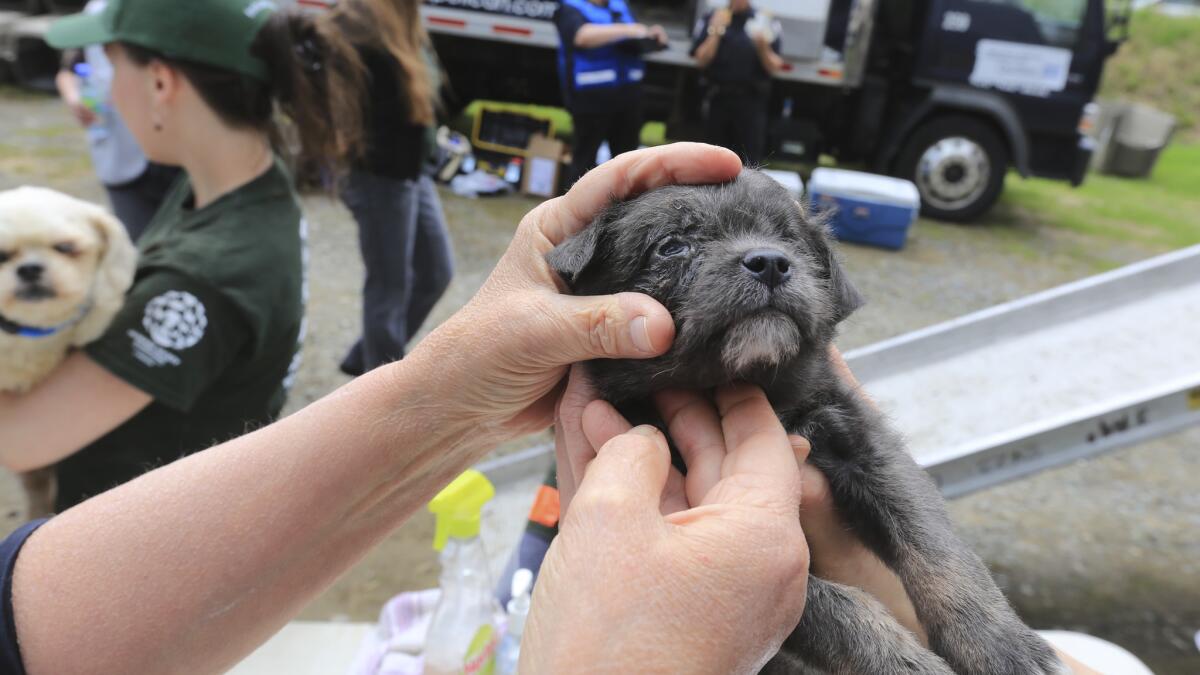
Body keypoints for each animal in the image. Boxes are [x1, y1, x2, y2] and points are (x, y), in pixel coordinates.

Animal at [549, 169, 1065, 672]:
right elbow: (836, 609)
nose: (770, 262)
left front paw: (1000, 644)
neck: (754, 387)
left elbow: (935, 546)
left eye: (791, 240)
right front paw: (906, 663)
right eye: (672, 245)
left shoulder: (872, 449)